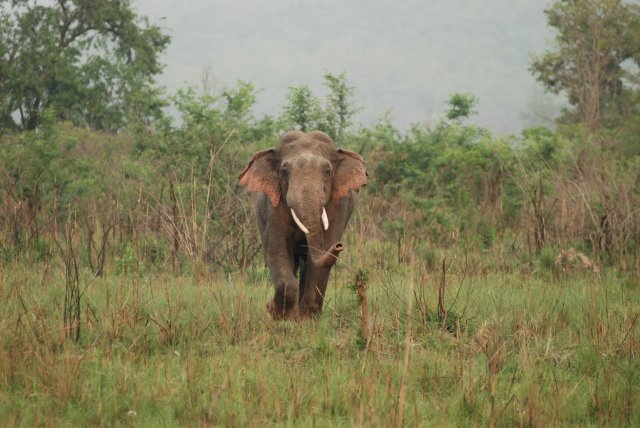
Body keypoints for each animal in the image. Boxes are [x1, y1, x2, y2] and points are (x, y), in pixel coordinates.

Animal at [239, 132, 370, 320]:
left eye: (328, 171)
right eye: (284, 171)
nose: (339, 246)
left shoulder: (338, 205)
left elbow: (322, 250)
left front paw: (308, 320)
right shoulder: (275, 205)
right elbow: (277, 248)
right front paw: (279, 314)